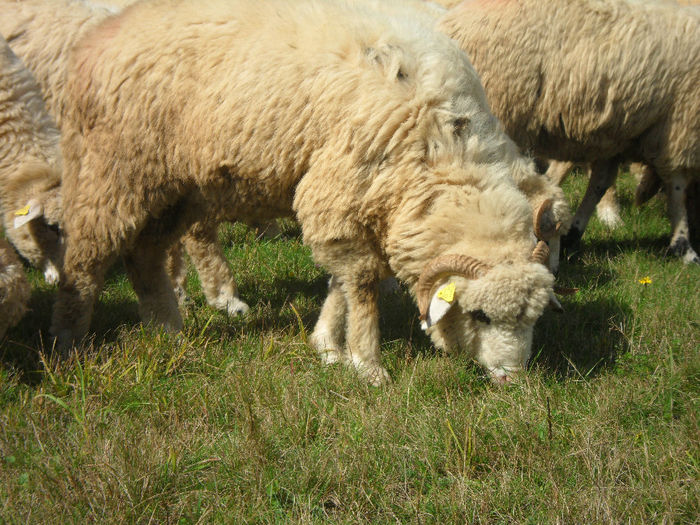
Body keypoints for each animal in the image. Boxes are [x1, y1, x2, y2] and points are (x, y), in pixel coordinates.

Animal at [52, 0, 556, 384]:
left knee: (145, 257)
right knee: (85, 261)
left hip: (174, 188)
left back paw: (168, 333)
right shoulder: (334, 190)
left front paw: (328, 346)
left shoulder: (354, 204)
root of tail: (96, 39)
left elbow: (341, 282)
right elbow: (363, 284)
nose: (512, 381)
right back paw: (68, 347)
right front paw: (367, 365)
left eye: (533, 318)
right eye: (480, 315)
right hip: (111, 172)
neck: (444, 140)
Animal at [440, 0, 700, 262]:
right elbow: (677, 188)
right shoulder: (680, 129)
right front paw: (684, 247)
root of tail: (451, 22)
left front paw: (575, 231)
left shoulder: (615, 139)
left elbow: (599, 184)